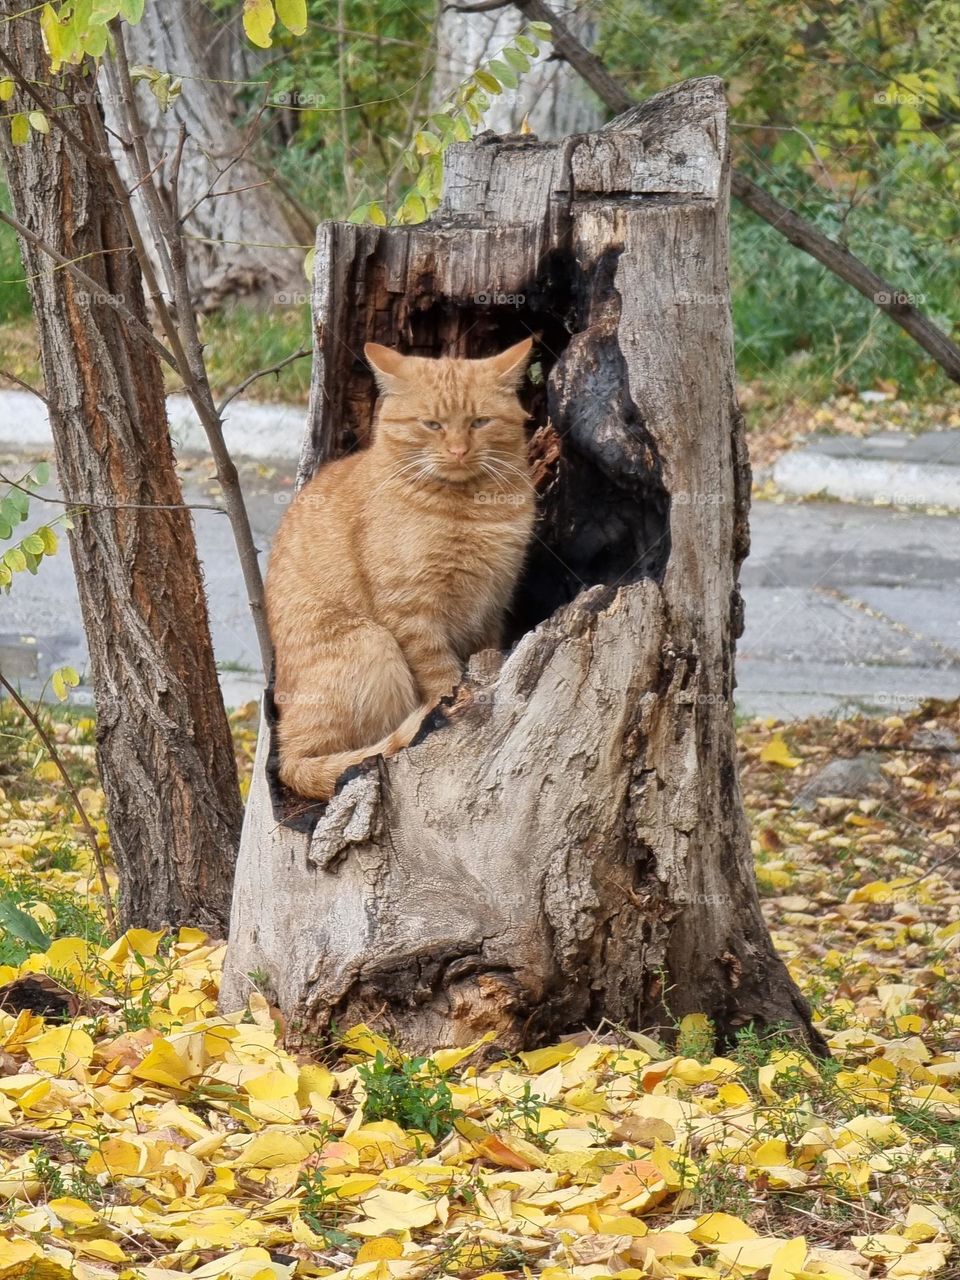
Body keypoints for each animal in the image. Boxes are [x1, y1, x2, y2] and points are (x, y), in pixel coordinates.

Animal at [267, 340, 537, 798]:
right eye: (432, 424)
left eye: (480, 422)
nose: (459, 450)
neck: (470, 508)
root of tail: (285, 756)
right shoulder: (412, 611)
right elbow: (442, 675)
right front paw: (450, 702)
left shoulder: (491, 606)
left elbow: (484, 653)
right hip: (371, 641)